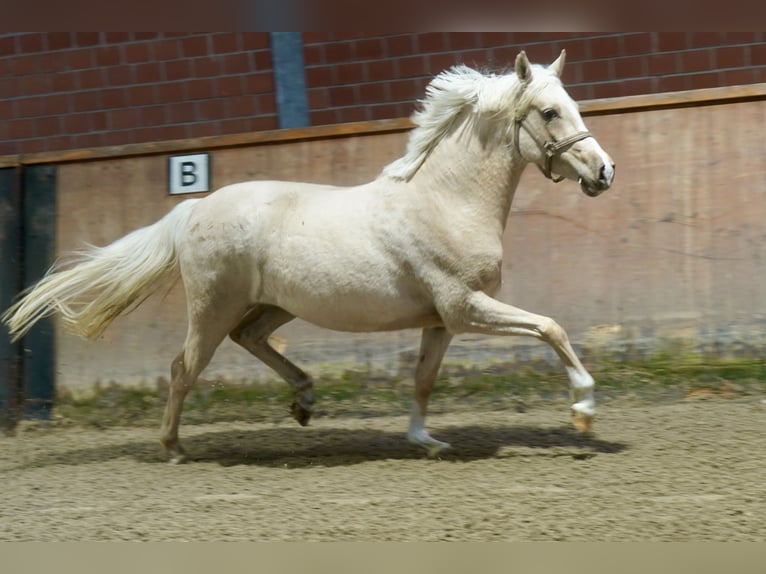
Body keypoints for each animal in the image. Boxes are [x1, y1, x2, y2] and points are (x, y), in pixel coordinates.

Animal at [2, 50, 615, 463]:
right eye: (549, 112)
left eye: (573, 105)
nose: (604, 172)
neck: (446, 201)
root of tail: (194, 209)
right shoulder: (466, 307)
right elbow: (552, 327)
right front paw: (583, 411)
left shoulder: (442, 320)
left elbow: (423, 380)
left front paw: (425, 440)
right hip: (213, 306)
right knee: (184, 368)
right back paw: (174, 447)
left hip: (274, 304)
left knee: (248, 339)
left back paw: (303, 399)